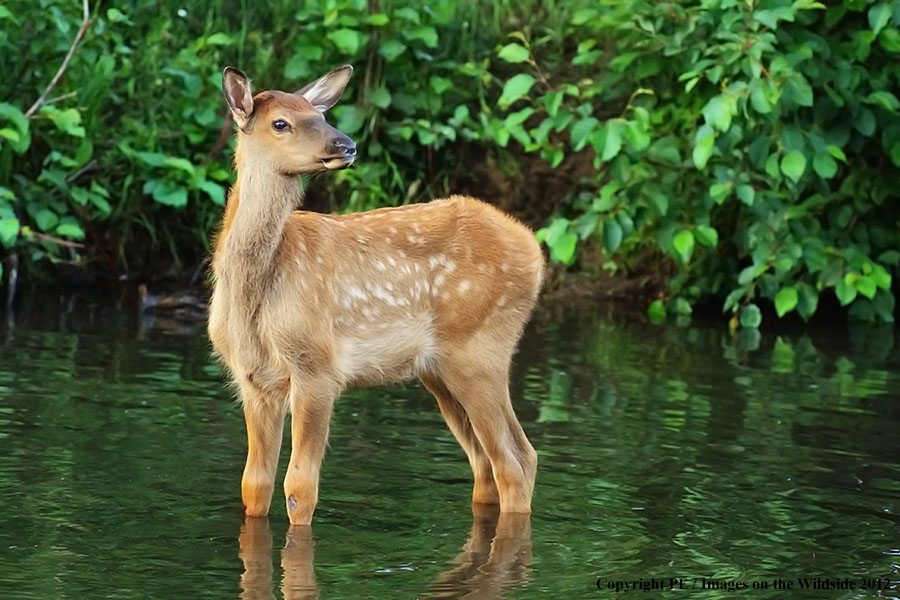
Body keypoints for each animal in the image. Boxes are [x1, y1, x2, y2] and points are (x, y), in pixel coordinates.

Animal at [213, 67, 540, 524]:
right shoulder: (255, 380)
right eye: (280, 123)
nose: (346, 145)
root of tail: (534, 249)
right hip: (440, 370)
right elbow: (253, 485)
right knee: (485, 464)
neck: (256, 296)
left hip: (480, 352)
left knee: (515, 460)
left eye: (320, 115)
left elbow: (299, 488)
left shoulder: (318, 366)